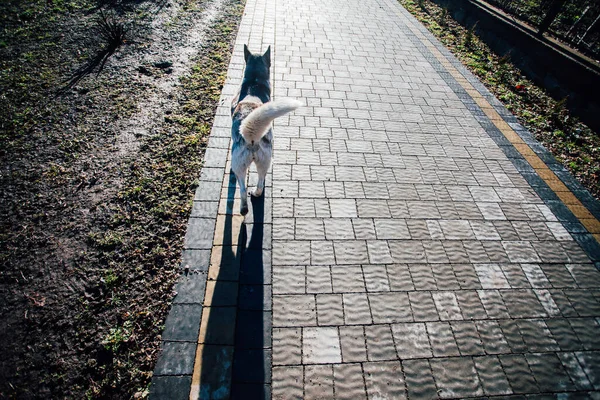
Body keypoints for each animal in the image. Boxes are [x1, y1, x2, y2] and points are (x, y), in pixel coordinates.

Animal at [232, 45, 302, 216]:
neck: (254, 84)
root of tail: (251, 138)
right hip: (264, 163)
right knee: (260, 184)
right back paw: (253, 197)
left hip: (239, 166)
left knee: (242, 189)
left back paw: (244, 206)